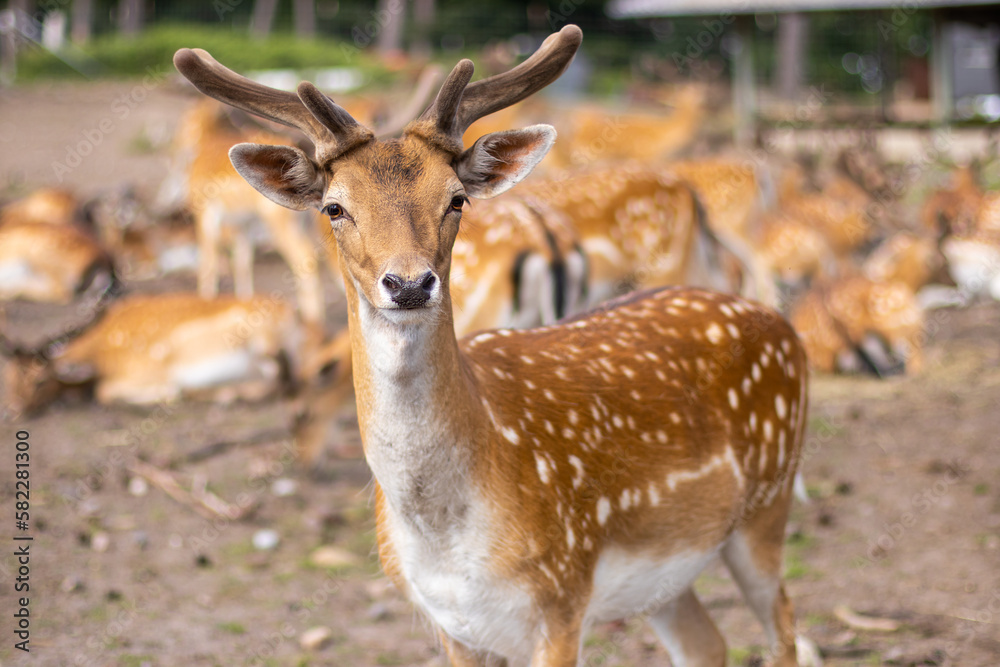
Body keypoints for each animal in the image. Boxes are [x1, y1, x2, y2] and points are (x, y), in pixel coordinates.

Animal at [175, 25, 811, 665]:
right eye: (334, 207)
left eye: (457, 198)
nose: (410, 284)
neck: (447, 536)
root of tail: (782, 328)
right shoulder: (451, 624)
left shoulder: (563, 596)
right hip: (665, 578)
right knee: (709, 643)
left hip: (766, 505)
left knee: (786, 627)